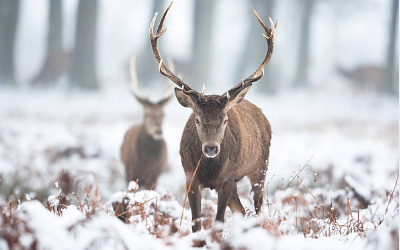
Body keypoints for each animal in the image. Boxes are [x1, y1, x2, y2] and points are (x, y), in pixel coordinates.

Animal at [120, 56, 173, 189]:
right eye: (147, 114)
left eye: (163, 114)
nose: (158, 131)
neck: (146, 162)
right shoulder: (129, 171)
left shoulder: (155, 175)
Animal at [150, 2, 278, 232]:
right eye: (197, 119)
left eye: (225, 120)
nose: (210, 148)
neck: (209, 171)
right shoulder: (190, 177)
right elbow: (196, 223)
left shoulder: (227, 179)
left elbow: (218, 222)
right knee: (241, 210)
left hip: (260, 167)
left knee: (257, 207)